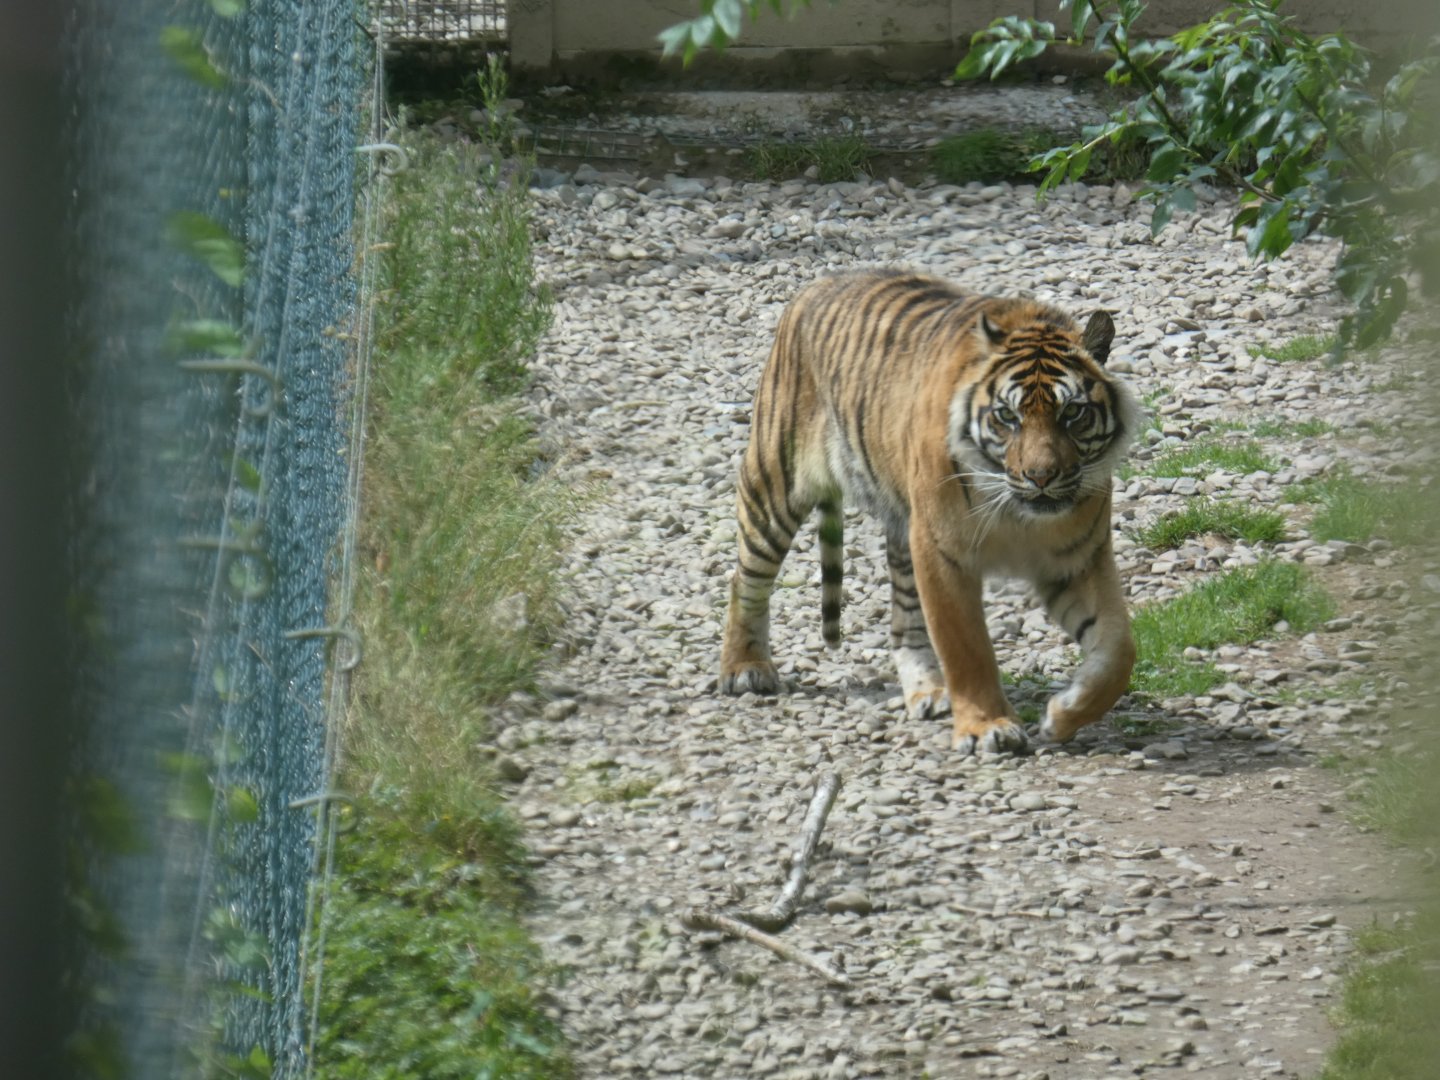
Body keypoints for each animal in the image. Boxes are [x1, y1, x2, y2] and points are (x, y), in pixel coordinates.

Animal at [718, 269, 1140, 755]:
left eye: (1072, 413)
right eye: (1007, 416)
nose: (1040, 476)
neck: (1020, 514)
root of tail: (819, 282)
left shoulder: (1078, 558)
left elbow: (1117, 650)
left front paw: (1061, 717)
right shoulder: (942, 550)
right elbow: (966, 647)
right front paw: (987, 727)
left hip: (902, 529)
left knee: (905, 623)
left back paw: (931, 692)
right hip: (775, 484)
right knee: (745, 578)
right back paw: (744, 669)